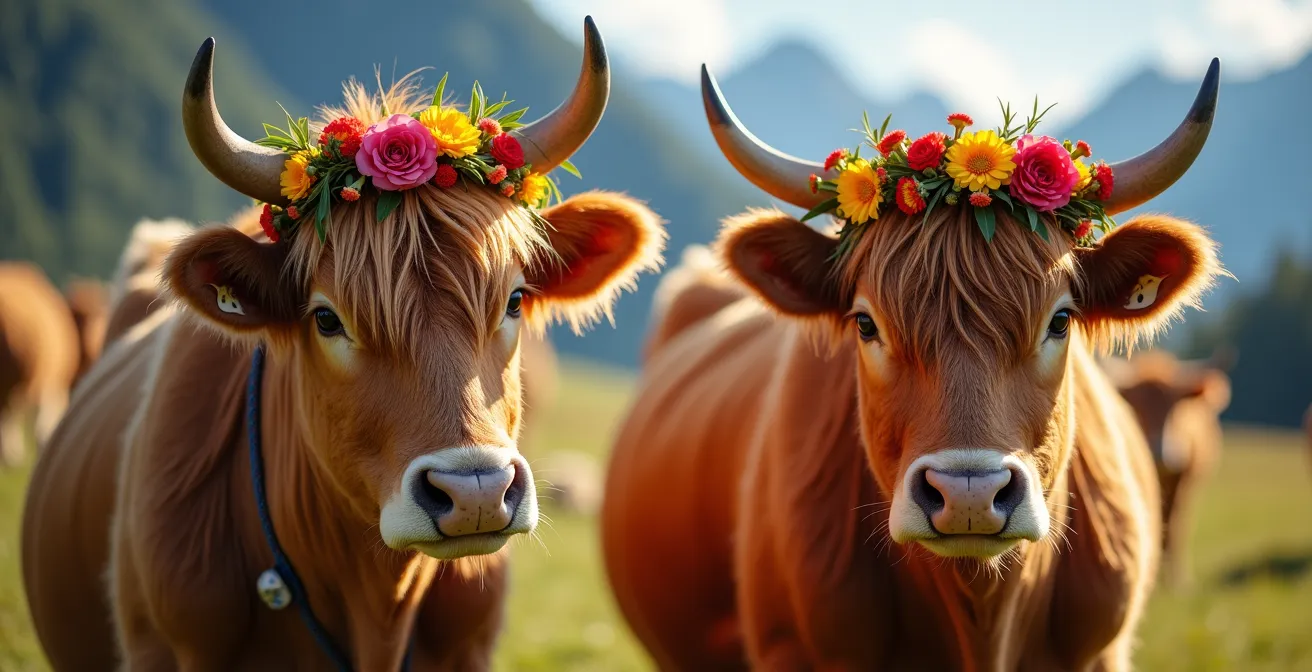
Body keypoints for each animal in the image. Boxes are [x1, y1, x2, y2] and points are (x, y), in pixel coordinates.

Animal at [1102, 350, 1233, 588]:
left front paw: (1178, 581)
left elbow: (1175, 525)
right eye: (1136, 407)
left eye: (1175, 408)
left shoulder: (1184, 482)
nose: (1160, 453)